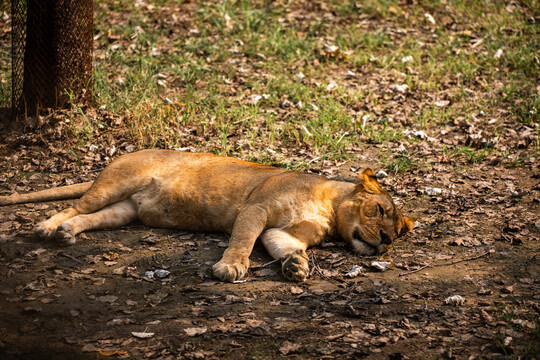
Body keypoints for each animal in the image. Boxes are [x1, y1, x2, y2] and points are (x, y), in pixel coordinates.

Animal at [0, 149, 414, 282]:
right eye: (379, 210)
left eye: (397, 232)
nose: (385, 241)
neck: (329, 209)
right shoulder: (256, 208)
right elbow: (242, 241)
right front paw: (230, 267)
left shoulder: (283, 231)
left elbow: (282, 246)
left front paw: (296, 266)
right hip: (116, 183)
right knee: (75, 206)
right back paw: (47, 227)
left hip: (124, 211)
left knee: (90, 218)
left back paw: (68, 232)